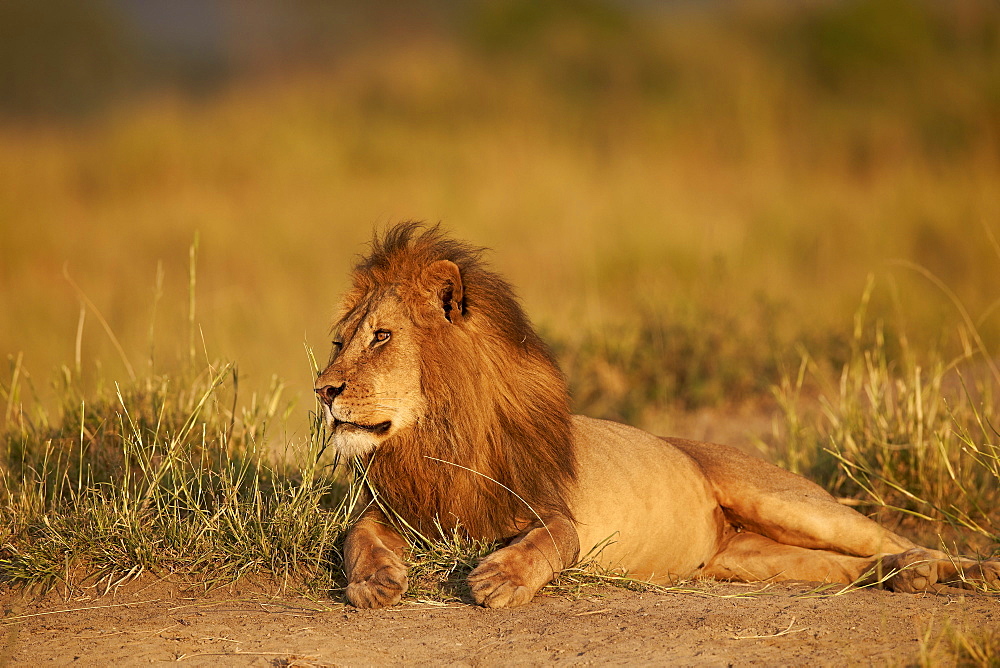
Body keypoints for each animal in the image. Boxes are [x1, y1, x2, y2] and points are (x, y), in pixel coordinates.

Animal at [314, 222, 1000, 608]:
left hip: (788, 501)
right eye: (338, 340)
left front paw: (500, 581)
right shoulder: (399, 506)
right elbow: (358, 536)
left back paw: (960, 570)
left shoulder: (549, 508)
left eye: (381, 337)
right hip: (749, 560)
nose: (323, 389)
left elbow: (552, 539)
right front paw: (374, 582)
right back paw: (903, 578)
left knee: (894, 538)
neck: (434, 438)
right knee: (848, 567)